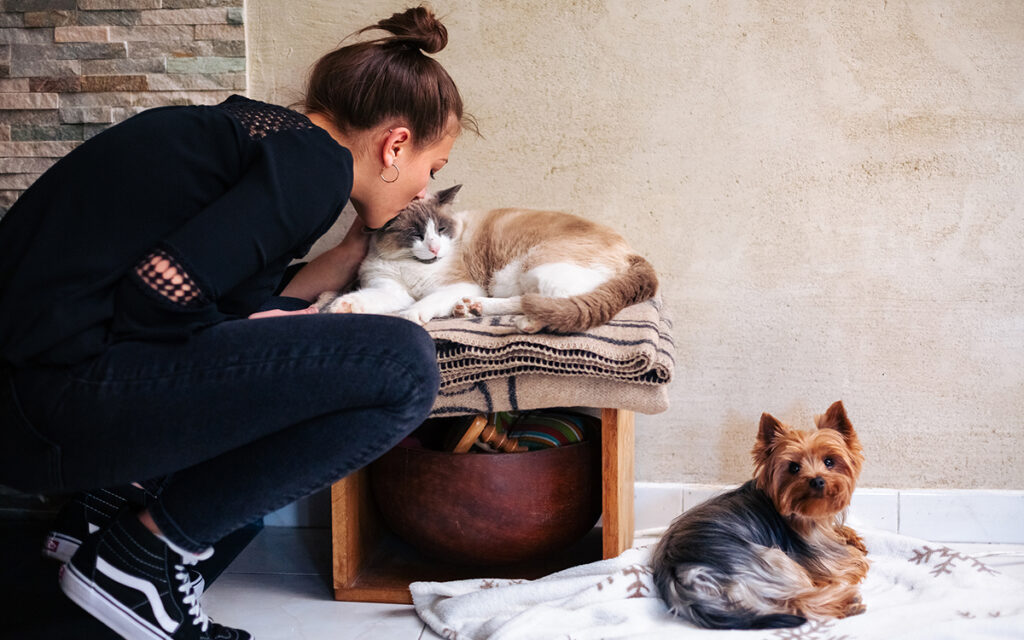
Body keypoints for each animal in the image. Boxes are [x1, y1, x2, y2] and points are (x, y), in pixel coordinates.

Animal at [315, 184, 659, 331]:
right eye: (416, 233)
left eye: (441, 229)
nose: (435, 248)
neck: (410, 264)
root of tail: (634, 252)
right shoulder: (390, 290)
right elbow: (367, 299)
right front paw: (339, 307)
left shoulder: (458, 284)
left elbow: (421, 304)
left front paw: (412, 316)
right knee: (528, 299)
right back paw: (472, 308)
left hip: (539, 266)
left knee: (559, 303)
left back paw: (526, 323)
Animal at [651, 401, 868, 626]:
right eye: (794, 467)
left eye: (829, 461)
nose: (817, 481)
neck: (806, 515)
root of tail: (679, 577)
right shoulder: (821, 555)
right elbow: (854, 562)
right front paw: (852, 549)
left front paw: (850, 536)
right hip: (773, 560)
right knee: (796, 600)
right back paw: (847, 602)